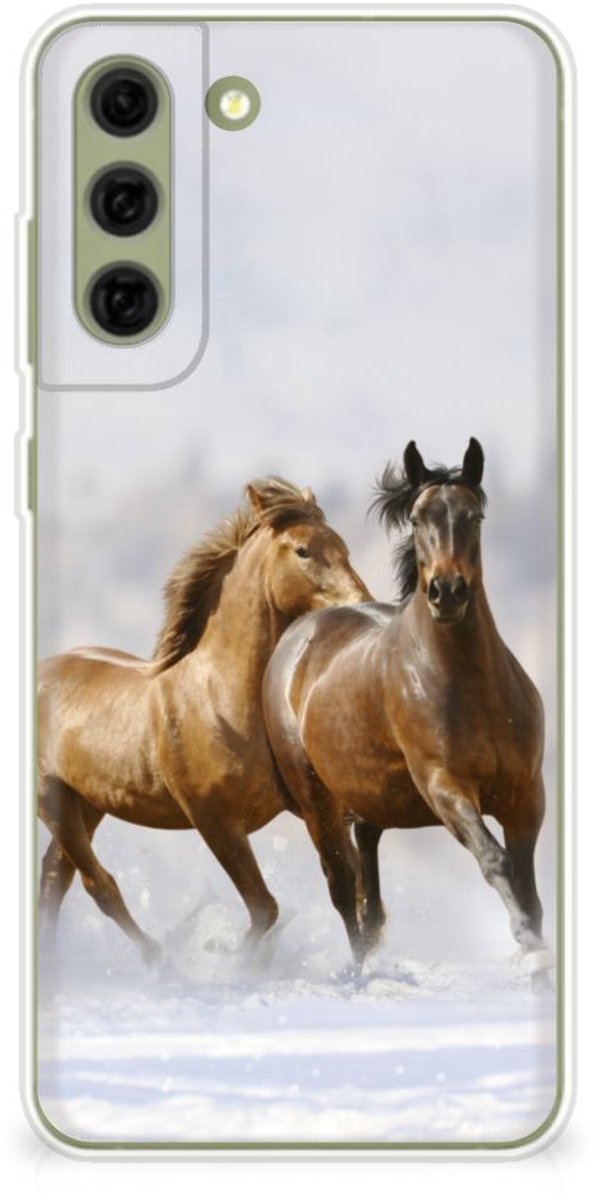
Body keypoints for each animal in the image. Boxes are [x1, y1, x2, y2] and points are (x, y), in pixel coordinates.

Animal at [38, 477, 371, 962]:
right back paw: (159, 959)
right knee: (97, 884)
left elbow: (344, 883)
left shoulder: (311, 806)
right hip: (50, 797)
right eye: (303, 550)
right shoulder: (214, 821)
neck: (221, 700)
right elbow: (265, 908)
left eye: (343, 546)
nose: (362, 605)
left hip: (87, 802)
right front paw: (226, 954)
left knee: (54, 877)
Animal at [263, 440, 546, 969]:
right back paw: (358, 970)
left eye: (475, 516)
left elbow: (529, 887)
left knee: (367, 881)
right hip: (317, 802)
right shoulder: (445, 787)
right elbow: (495, 860)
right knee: (342, 887)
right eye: (416, 519)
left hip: (368, 797)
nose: (447, 592)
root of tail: (297, 636)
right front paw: (527, 943)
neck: (472, 687)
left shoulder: (526, 795)